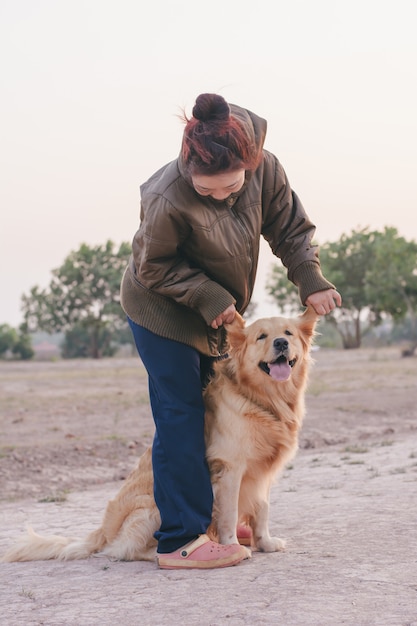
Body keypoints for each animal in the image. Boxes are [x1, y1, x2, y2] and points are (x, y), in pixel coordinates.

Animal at [2, 306, 316, 560]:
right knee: (126, 550)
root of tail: (102, 531)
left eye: (288, 332)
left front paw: (265, 543)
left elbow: (262, 510)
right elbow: (228, 515)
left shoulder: (262, 471)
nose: (280, 343)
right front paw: (232, 545)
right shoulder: (230, 468)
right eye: (261, 336)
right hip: (155, 507)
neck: (261, 398)